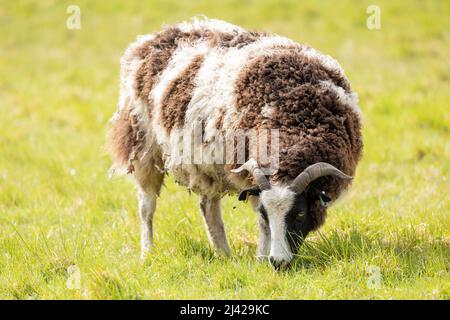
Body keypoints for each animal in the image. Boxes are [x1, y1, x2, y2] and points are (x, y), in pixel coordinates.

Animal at [108, 17, 362, 268]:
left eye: (299, 213)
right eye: (265, 213)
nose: (278, 262)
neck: (295, 121)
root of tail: (152, 38)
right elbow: (262, 226)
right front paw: (261, 260)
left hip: (205, 165)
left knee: (208, 207)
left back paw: (223, 254)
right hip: (143, 147)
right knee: (146, 207)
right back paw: (147, 253)